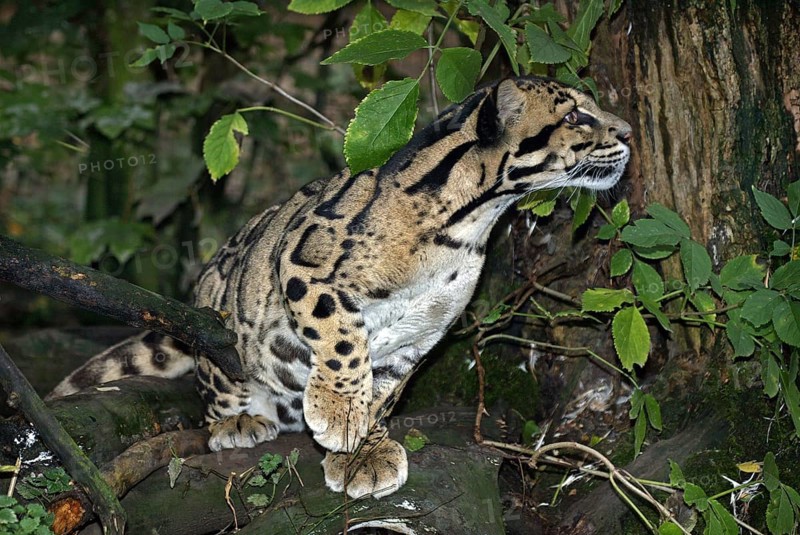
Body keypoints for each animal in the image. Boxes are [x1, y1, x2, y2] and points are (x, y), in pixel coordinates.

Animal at [52, 76, 632, 499]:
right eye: (576, 116)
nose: (628, 132)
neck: (469, 223)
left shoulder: (423, 333)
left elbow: (384, 390)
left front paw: (362, 450)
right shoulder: (305, 261)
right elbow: (344, 342)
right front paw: (338, 414)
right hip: (217, 316)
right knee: (214, 386)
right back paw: (238, 420)